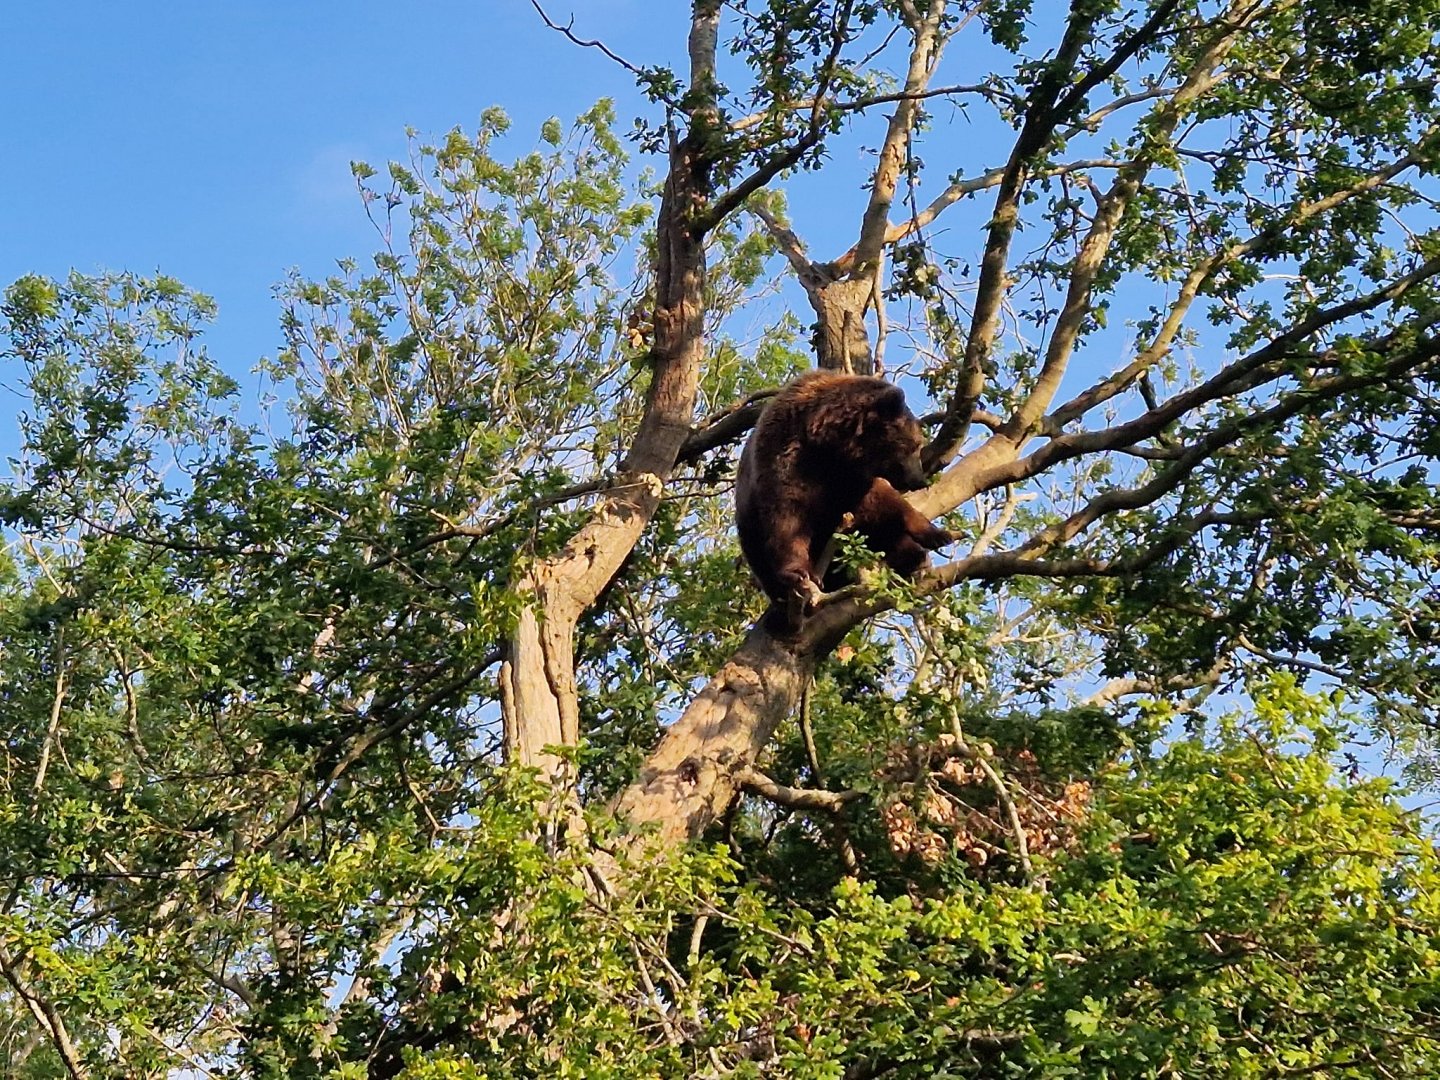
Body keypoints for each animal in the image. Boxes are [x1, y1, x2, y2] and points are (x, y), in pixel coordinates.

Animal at [735, 370, 955, 635]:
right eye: (913, 446)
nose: (919, 479)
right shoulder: (785, 465)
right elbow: (787, 523)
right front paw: (798, 574)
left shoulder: (852, 483)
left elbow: (884, 505)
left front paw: (936, 535)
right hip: (750, 531)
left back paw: (912, 557)